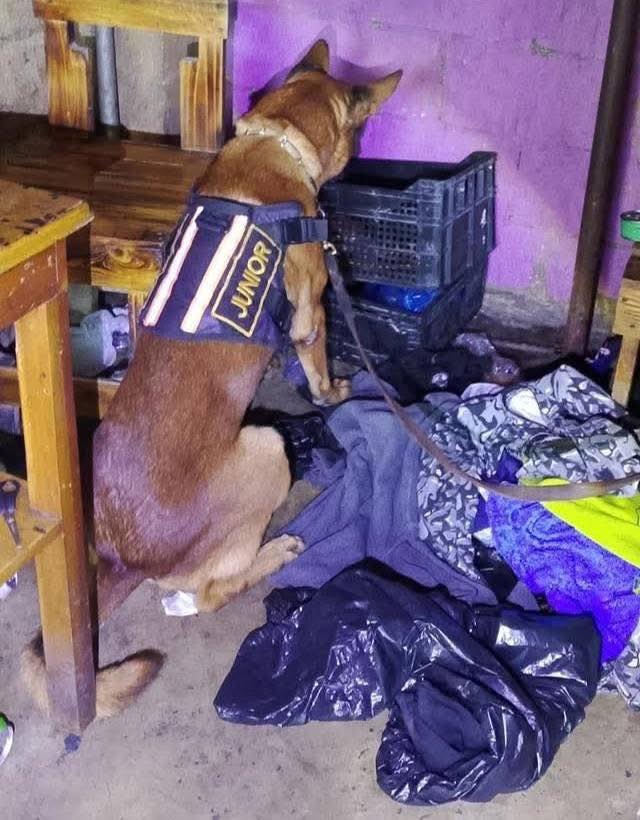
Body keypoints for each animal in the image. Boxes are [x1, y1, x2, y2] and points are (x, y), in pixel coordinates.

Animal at [23, 40, 401, 718]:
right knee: (212, 594)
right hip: (269, 447)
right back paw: (275, 552)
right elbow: (317, 360)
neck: (275, 139)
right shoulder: (312, 312)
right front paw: (331, 393)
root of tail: (128, 559)